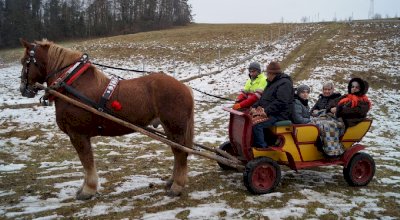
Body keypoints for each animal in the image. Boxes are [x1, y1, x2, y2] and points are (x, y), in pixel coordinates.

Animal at [18, 38, 194, 200]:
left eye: (25, 61)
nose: (22, 89)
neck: (71, 84)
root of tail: (184, 87)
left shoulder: (77, 134)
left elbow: (86, 161)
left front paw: (88, 190)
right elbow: (86, 162)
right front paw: (84, 188)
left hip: (174, 127)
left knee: (179, 153)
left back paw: (177, 186)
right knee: (177, 152)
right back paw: (172, 181)